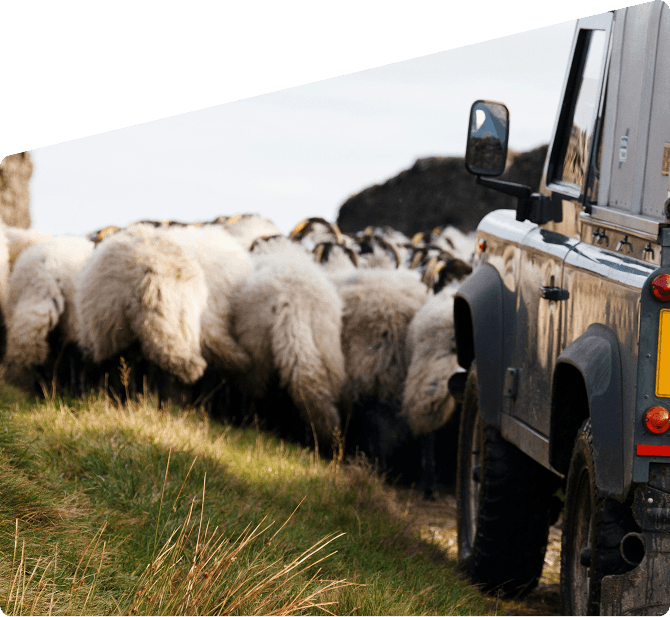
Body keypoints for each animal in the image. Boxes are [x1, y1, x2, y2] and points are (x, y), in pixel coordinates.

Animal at [75, 223, 208, 402]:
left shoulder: (110, 339)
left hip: (121, 329)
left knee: (127, 367)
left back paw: (128, 401)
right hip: (177, 326)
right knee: (165, 374)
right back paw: (165, 406)